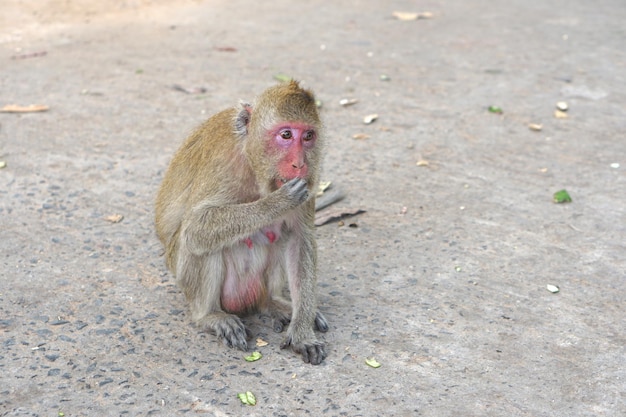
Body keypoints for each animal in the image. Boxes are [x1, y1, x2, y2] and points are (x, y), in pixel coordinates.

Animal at [155, 79, 326, 362]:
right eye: (286, 135)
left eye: (308, 136)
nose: (299, 164)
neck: (252, 161)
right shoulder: (223, 164)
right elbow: (196, 229)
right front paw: (277, 202)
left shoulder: (310, 181)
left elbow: (301, 240)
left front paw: (302, 332)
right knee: (200, 246)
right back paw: (210, 316)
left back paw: (274, 303)